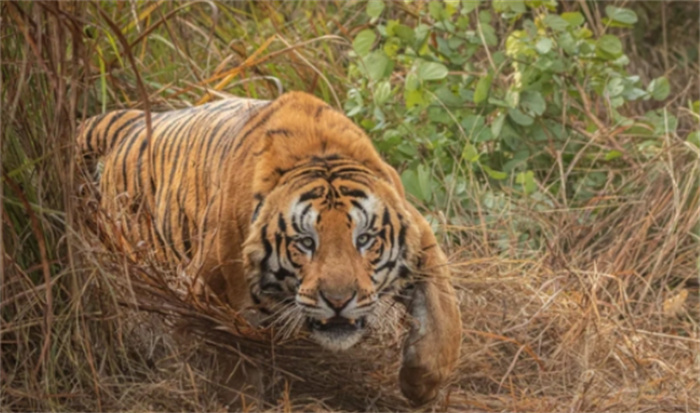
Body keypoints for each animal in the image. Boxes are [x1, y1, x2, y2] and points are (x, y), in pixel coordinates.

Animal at [76, 91, 462, 404]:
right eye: (306, 242)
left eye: (364, 239)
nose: (339, 302)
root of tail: (130, 123)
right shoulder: (207, 295)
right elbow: (229, 358)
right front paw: (237, 398)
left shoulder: (423, 244)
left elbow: (443, 313)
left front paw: (422, 384)